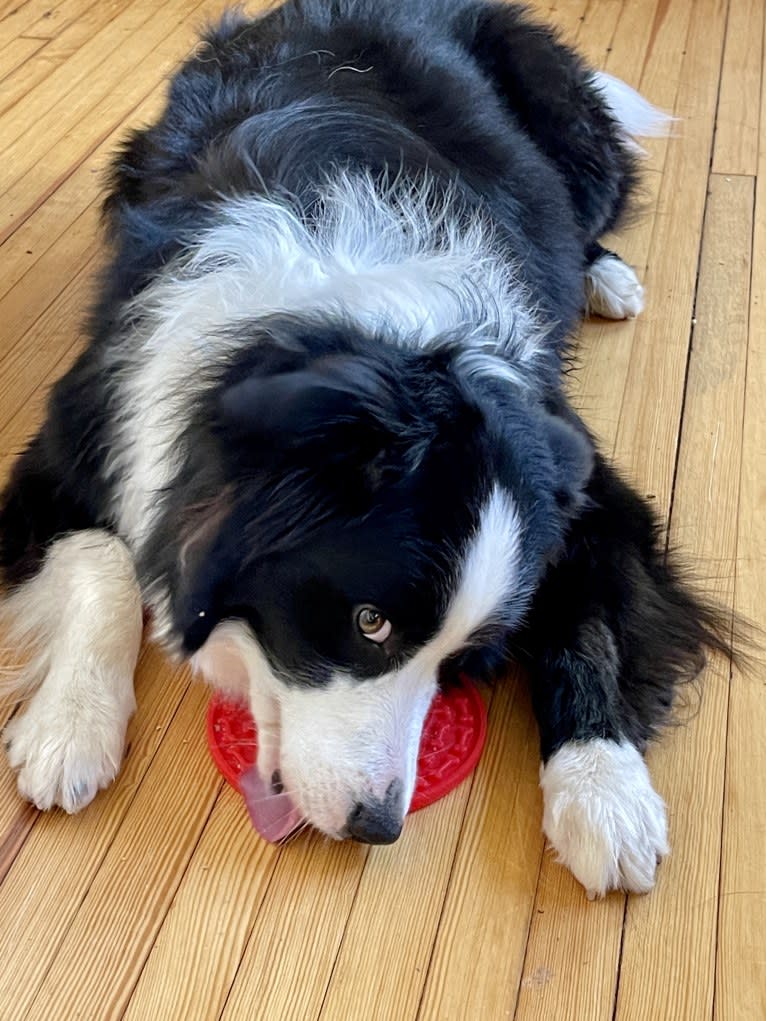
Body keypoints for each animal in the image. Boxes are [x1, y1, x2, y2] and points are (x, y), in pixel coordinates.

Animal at [0, 0, 731, 894]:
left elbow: (590, 618)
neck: (356, 337)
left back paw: (607, 277)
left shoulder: (574, 471)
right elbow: (100, 560)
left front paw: (605, 794)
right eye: (370, 622)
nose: (376, 825)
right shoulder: (78, 432)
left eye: (464, 657)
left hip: (572, 131)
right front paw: (70, 727)